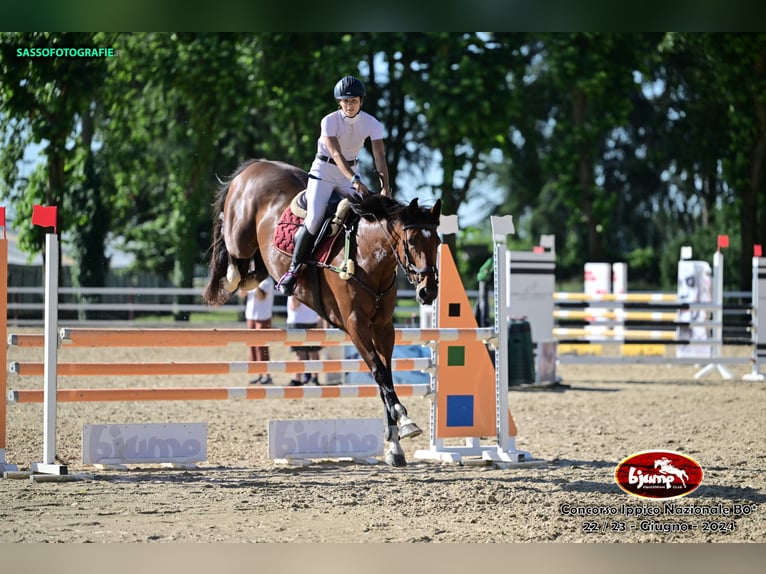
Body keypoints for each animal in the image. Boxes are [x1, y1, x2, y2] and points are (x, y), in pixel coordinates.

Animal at [202, 158, 444, 468]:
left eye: (436, 241)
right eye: (411, 241)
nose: (429, 292)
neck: (369, 257)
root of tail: (256, 165)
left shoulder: (383, 327)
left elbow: (385, 375)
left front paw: (395, 445)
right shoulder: (355, 325)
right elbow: (378, 371)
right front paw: (405, 421)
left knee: (254, 267)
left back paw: (251, 278)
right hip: (240, 236)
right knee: (229, 240)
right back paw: (234, 275)